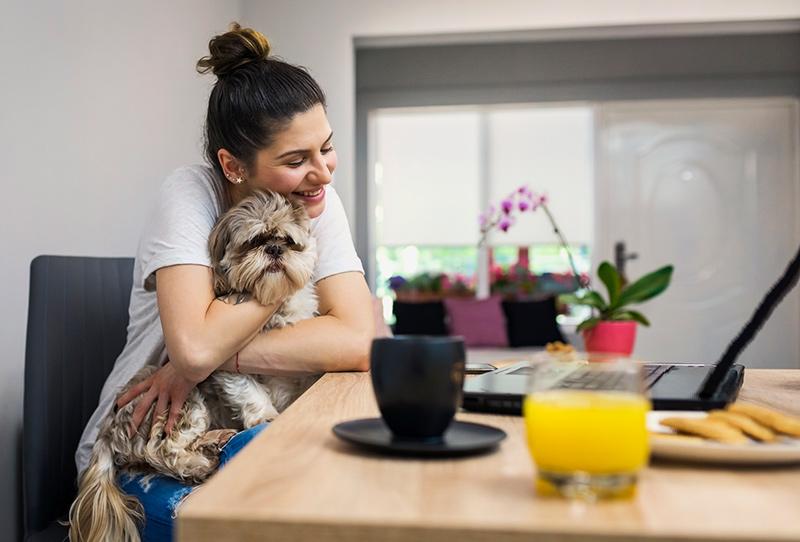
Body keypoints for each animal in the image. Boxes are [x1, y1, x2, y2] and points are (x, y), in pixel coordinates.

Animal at [69, 189, 318, 540]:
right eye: (252, 242)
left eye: (286, 240)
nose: (273, 249)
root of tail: (108, 429)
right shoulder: (224, 365)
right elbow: (250, 392)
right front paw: (266, 416)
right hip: (181, 401)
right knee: (164, 449)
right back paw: (204, 462)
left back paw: (214, 443)